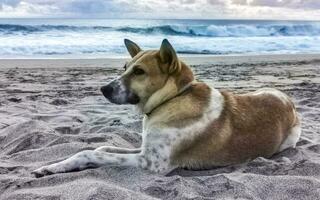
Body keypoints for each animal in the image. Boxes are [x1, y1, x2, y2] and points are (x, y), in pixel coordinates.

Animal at [31, 38, 302, 177]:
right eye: (125, 67)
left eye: (139, 72)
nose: (103, 89)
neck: (172, 99)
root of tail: (286, 99)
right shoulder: (145, 149)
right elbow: (101, 147)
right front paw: (56, 166)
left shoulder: (151, 162)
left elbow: (90, 153)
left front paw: (51, 167)